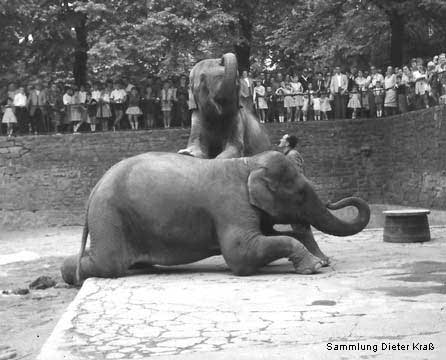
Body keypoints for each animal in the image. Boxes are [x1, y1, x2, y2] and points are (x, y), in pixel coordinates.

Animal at [61, 150, 372, 286]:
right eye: (299, 194)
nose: (334, 200)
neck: (248, 163)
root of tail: (94, 189)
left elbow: (272, 235)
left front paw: (319, 259)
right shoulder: (231, 206)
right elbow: (239, 255)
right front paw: (314, 266)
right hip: (109, 214)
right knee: (109, 264)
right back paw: (70, 274)